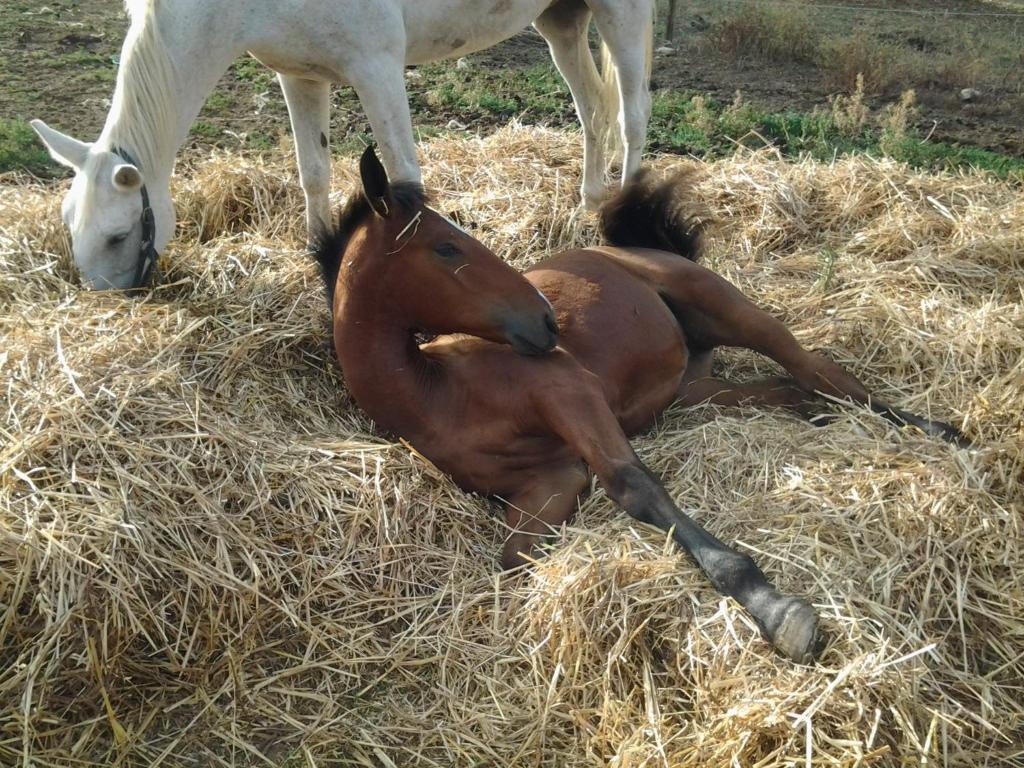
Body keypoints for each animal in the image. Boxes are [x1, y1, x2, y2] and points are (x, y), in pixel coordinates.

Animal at [36, 0, 655, 290]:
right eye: (70, 225)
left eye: (118, 235)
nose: (109, 299)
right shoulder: (299, 77)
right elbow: (312, 170)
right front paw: (319, 253)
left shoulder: (376, 69)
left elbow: (405, 175)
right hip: (561, 20)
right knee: (592, 109)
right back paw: (588, 201)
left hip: (620, 14)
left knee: (632, 116)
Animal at [313, 147, 966, 663]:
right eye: (447, 248)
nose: (547, 320)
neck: (438, 394)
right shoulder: (552, 480)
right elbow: (513, 558)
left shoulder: (570, 392)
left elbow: (634, 487)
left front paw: (776, 611)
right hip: (696, 391)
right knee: (793, 391)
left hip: (729, 309)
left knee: (819, 369)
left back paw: (940, 432)